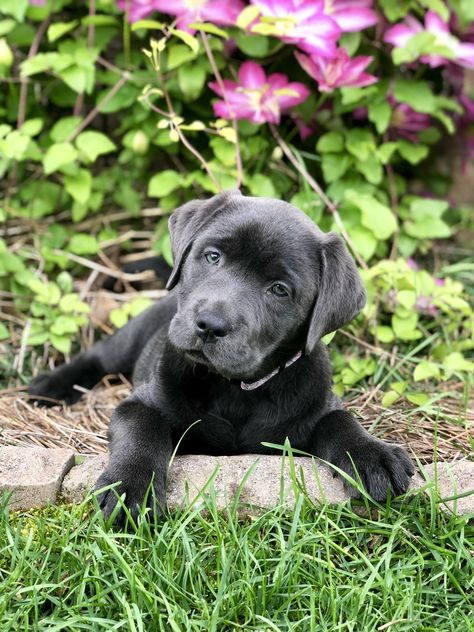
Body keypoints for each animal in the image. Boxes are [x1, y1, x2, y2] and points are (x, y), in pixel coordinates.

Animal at [30, 190, 414, 520]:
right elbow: (142, 432)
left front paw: (373, 454)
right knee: (98, 356)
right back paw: (47, 386)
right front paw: (129, 487)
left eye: (279, 290)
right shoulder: (143, 402)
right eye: (213, 256)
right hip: (134, 334)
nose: (210, 325)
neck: (235, 388)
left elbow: (340, 421)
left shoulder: (317, 408)